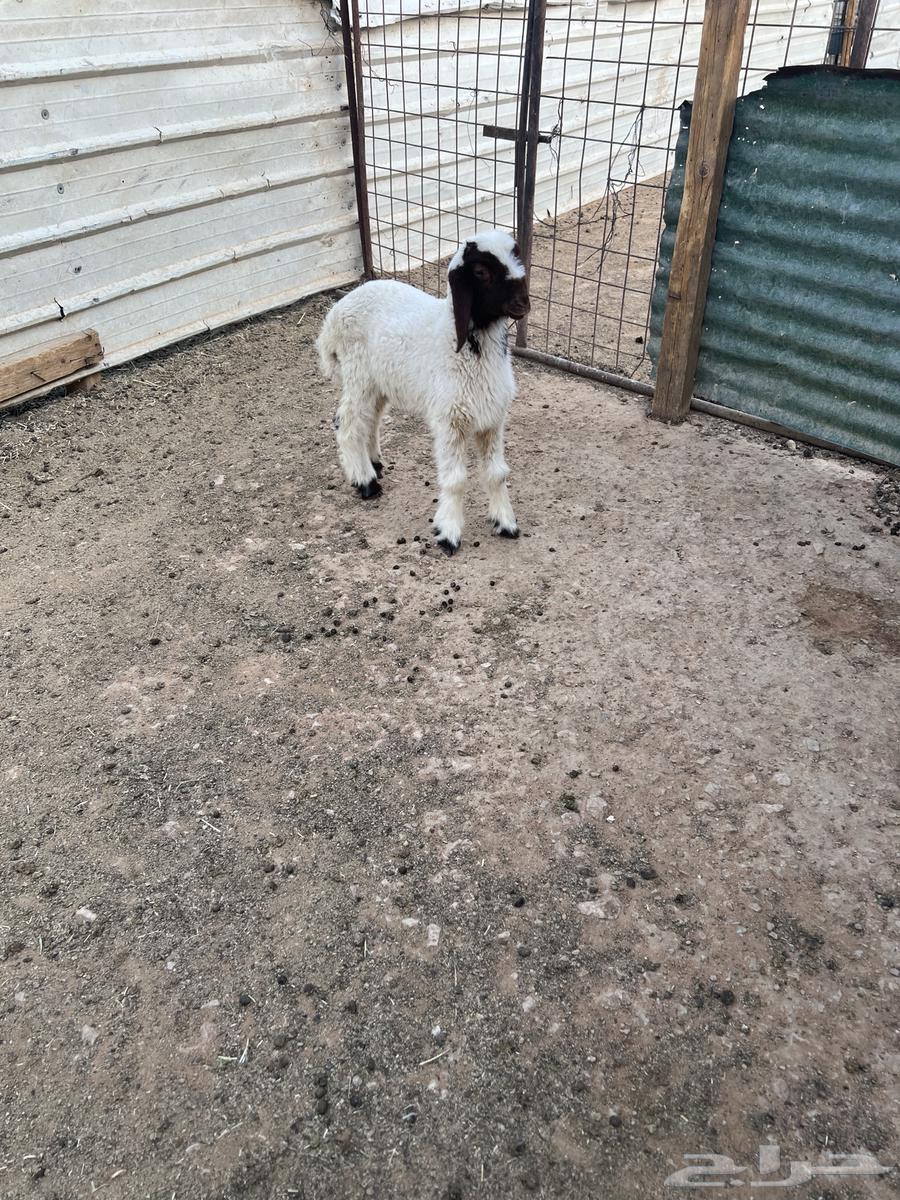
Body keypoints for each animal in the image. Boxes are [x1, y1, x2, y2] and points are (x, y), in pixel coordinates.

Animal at [315, 229, 530, 555]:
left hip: (380, 381)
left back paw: (374, 462)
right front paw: (448, 532)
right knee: (348, 425)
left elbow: (497, 473)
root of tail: (332, 319)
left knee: (370, 420)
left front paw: (505, 522)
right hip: (358, 375)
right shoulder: (450, 419)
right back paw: (365, 482)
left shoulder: (492, 419)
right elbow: (455, 480)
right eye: (481, 271)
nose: (523, 303)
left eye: (516, 257)